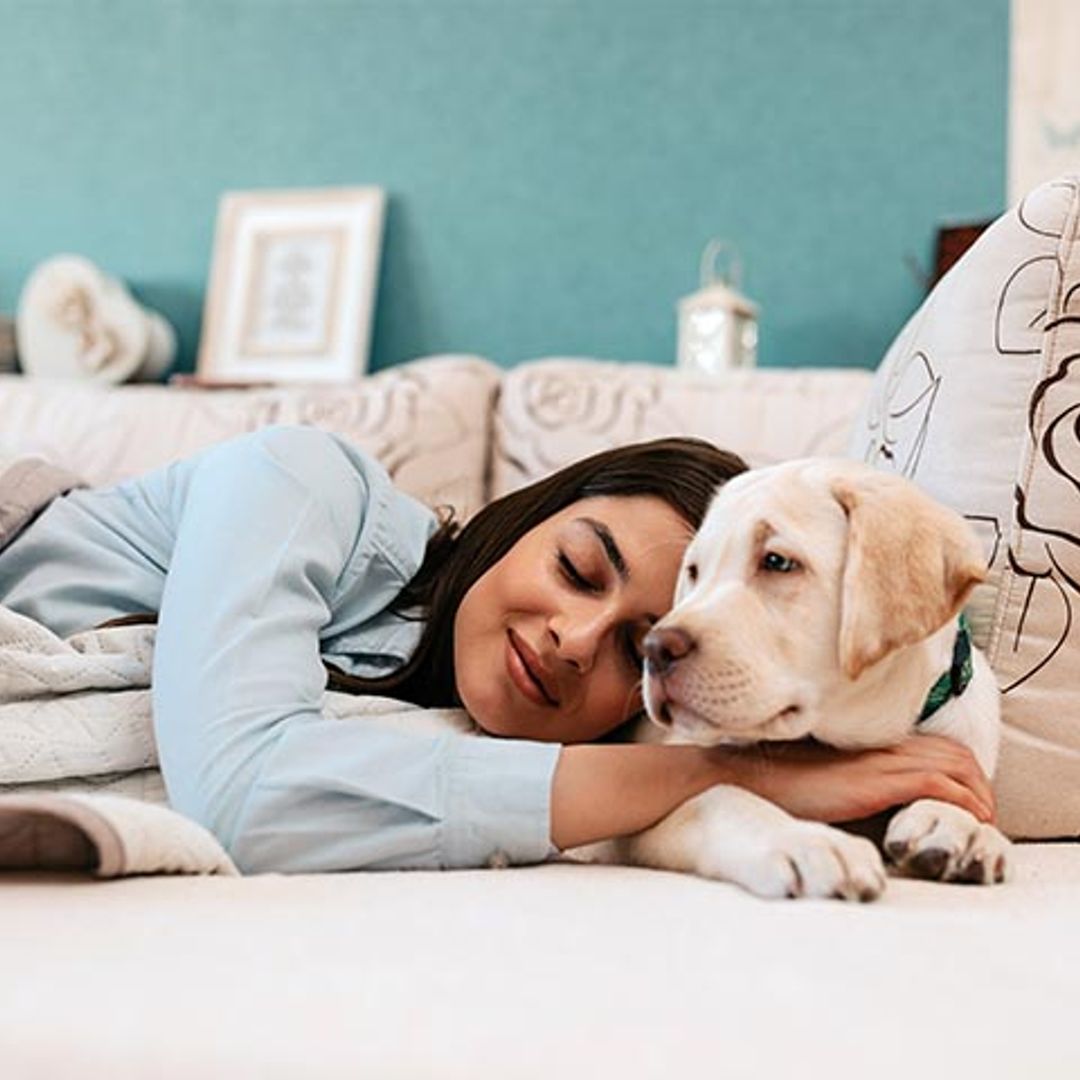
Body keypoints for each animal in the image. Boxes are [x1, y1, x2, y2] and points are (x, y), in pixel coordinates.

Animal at [570, 457, 1006, 902]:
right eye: (694, 571)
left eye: (777, 562)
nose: (654, 649)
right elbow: (718, 795)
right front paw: (806, 841)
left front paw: (956, 822)